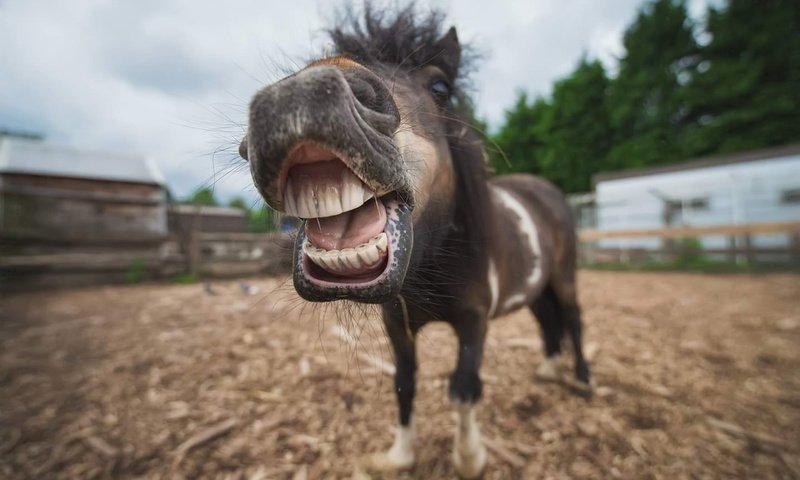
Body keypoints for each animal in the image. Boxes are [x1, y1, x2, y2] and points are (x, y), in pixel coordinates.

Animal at [241, 6, 592, 476]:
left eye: (440, 86)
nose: (299, 96)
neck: (434, 262)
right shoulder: (397, 325)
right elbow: (404, 385)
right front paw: (400, 456)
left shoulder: (474, 320)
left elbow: (463, 389)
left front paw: (469, 459)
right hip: (536, 287)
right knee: (548, 321)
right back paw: (550, 371)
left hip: (564, 276)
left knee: (572, 317)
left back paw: (584, 381)